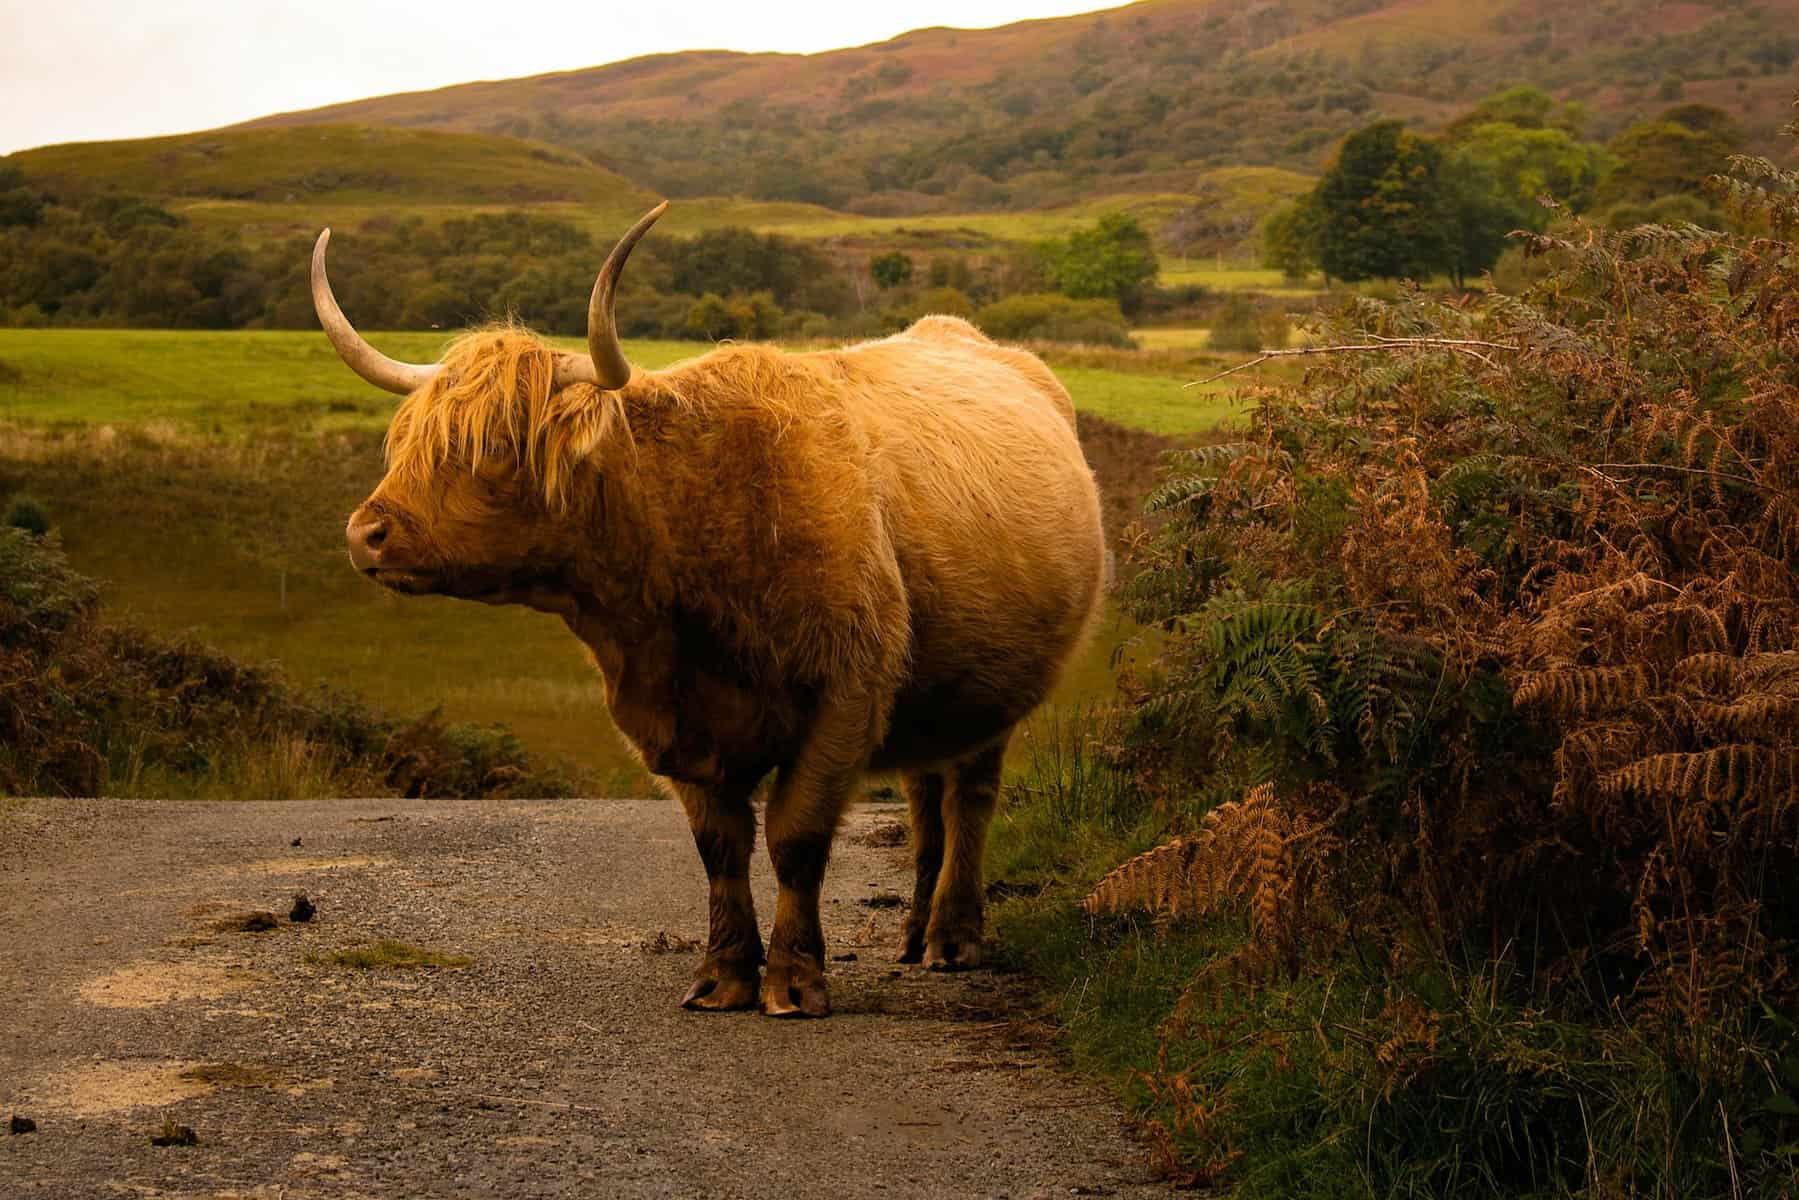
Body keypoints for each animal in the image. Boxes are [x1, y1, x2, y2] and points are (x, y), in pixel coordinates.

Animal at [322, 204, 1108, 1014]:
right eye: (407, 439)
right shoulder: (673, 722)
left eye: (495, 445)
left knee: (969, 799)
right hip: (933, 688)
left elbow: (795, 838)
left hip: (995, 695)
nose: (366, 532)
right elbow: (720, 847)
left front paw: (794, 980)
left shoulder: (844, 696)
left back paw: (954, 938)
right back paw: (917, 932)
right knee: (926, 797)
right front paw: (724, 975)